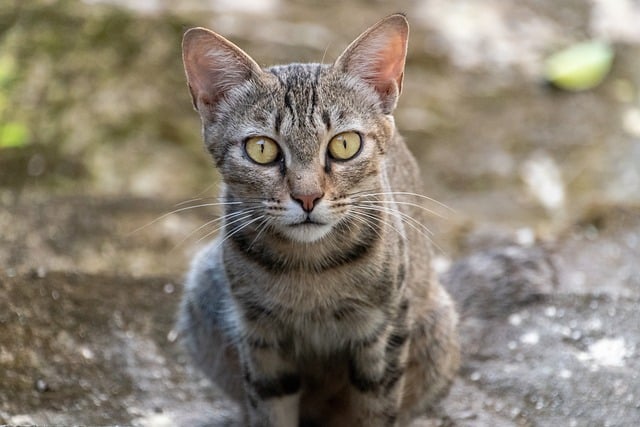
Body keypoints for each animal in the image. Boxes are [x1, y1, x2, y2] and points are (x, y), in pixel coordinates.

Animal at [176, 14, 460, 427]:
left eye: (345, 144)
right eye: (261, 149)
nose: (307, 197)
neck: (310, 273)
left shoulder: (385, 329)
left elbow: (376, 410)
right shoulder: (260, 336)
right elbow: (270, 410)